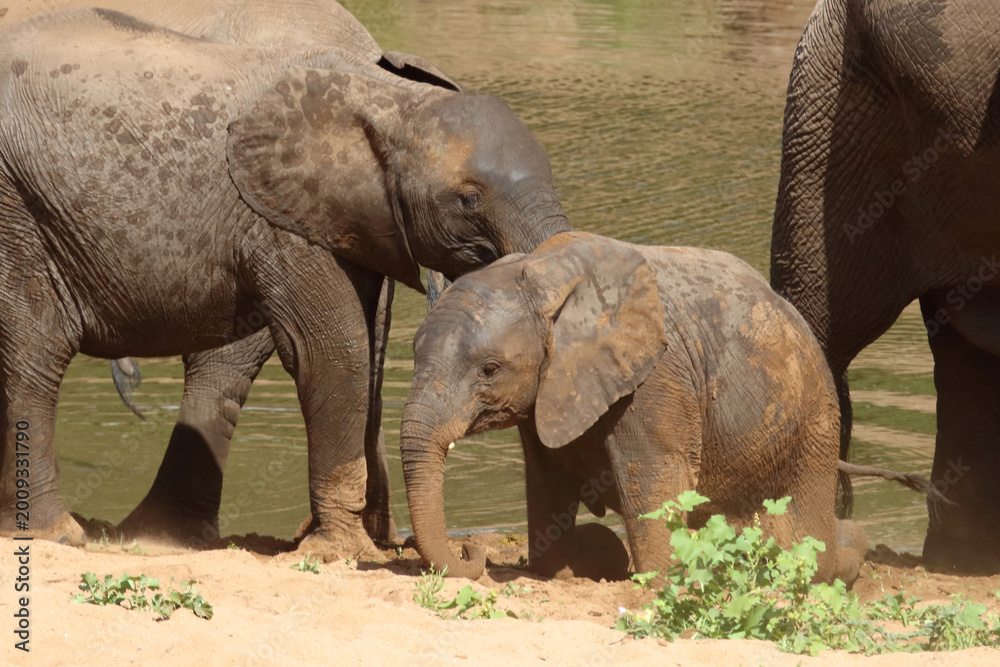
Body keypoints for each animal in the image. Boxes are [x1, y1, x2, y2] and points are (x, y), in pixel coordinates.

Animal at [0, 8, 570, 556]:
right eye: (469, 200)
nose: (470, 550)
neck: (390, 101)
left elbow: (360, 347)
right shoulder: (278, 218)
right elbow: (333, 350)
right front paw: (336, 550)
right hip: (19, 208)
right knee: (36, 354)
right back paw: (56, 535)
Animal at [399, 231, 868, 584]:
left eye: (489, 370)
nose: (469, 547)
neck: (543, 275)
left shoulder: (656, 378)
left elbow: (650, 480)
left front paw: (659, 579)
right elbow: (547, 484)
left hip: (814, 417)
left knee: (808, 545)